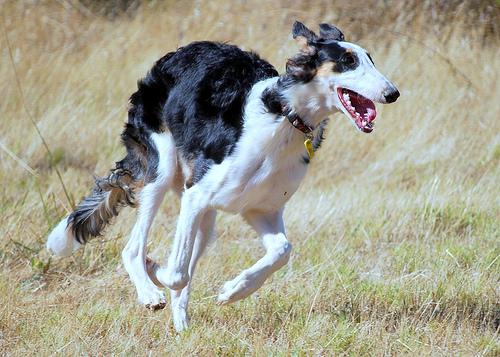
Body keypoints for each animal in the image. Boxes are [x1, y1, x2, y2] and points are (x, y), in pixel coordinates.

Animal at [46, 20, 398, 330]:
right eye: (347, 61)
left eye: (370, 59)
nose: (393, 93)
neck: (283, 119)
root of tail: (175, 54)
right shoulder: (197, 195)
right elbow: (177, 272)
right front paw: (156, 269)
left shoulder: (259, 209)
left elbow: (282, 251)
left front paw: (234, 290)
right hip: (162, 172)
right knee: (134, 249)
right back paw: (149, 292)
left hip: (205, 217)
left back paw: (182, 329)